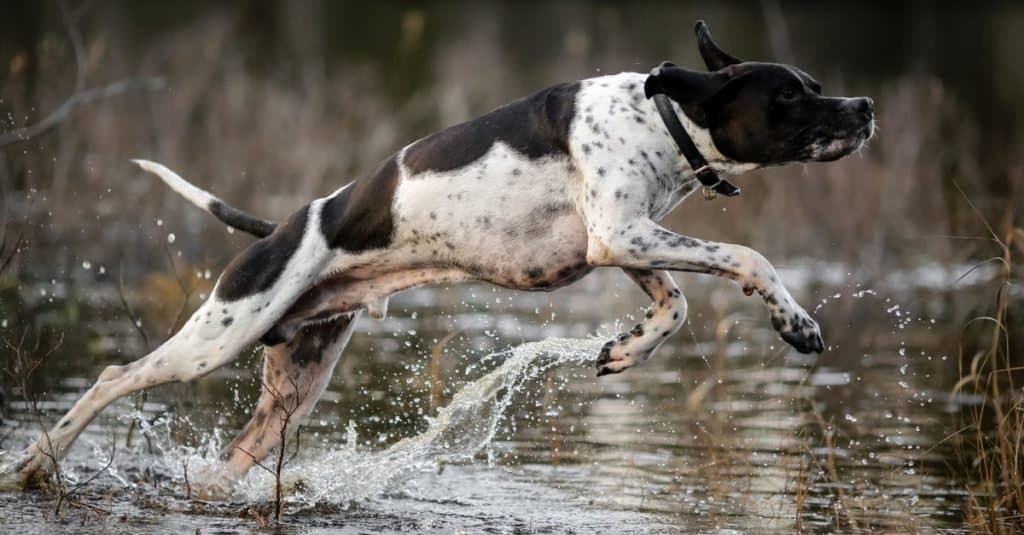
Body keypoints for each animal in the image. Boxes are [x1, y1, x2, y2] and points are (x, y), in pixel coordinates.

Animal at [6, 21, 872, 487]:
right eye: (789, 93)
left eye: (816, 81)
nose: (864, 105)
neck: (661, 116)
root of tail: (284, 227)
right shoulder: (621, 234)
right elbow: (749, 256)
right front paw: (796, 323)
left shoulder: (625, 240)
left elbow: (679, 302)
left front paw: (626, 349)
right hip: (217, 336)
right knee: (113, 378)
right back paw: (40, 459)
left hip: (293, 384)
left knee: (230, 460)